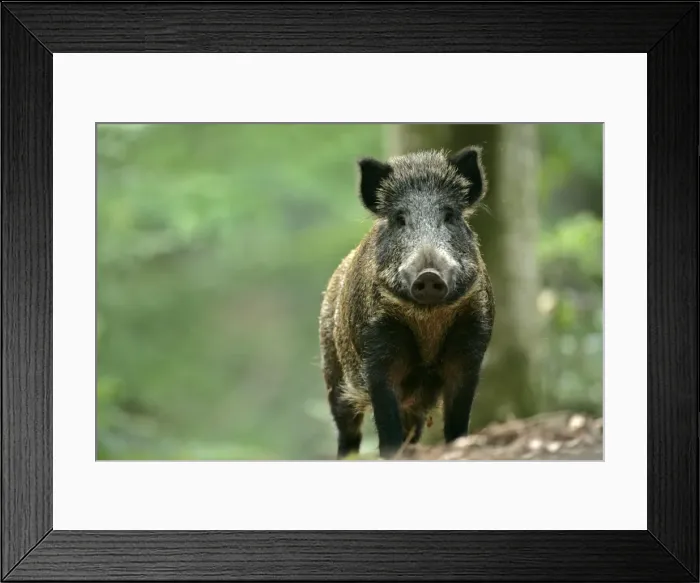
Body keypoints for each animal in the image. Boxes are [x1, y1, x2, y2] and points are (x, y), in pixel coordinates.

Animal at [319, 147, 495, 459]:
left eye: (449, 215)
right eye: (400, 219)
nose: (429, 275)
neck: (427, 318)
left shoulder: (472, 340)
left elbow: (458, 417)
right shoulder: (376, 348)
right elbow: (386, 422)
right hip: (333, 373)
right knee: (347, 430)